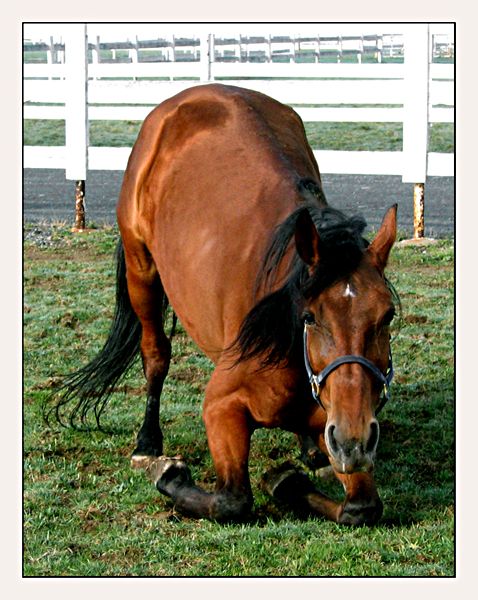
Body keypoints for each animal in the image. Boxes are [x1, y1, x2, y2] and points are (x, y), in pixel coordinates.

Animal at [52, 83, 398, 524]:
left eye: (387, 315)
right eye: (310, 317)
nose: (353, 443)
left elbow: (362, 507)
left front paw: (291, 478)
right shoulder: (221, 408)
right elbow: (232, 499)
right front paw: (170, 473)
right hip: (141, 269)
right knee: (155, 355)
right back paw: (148, 443)